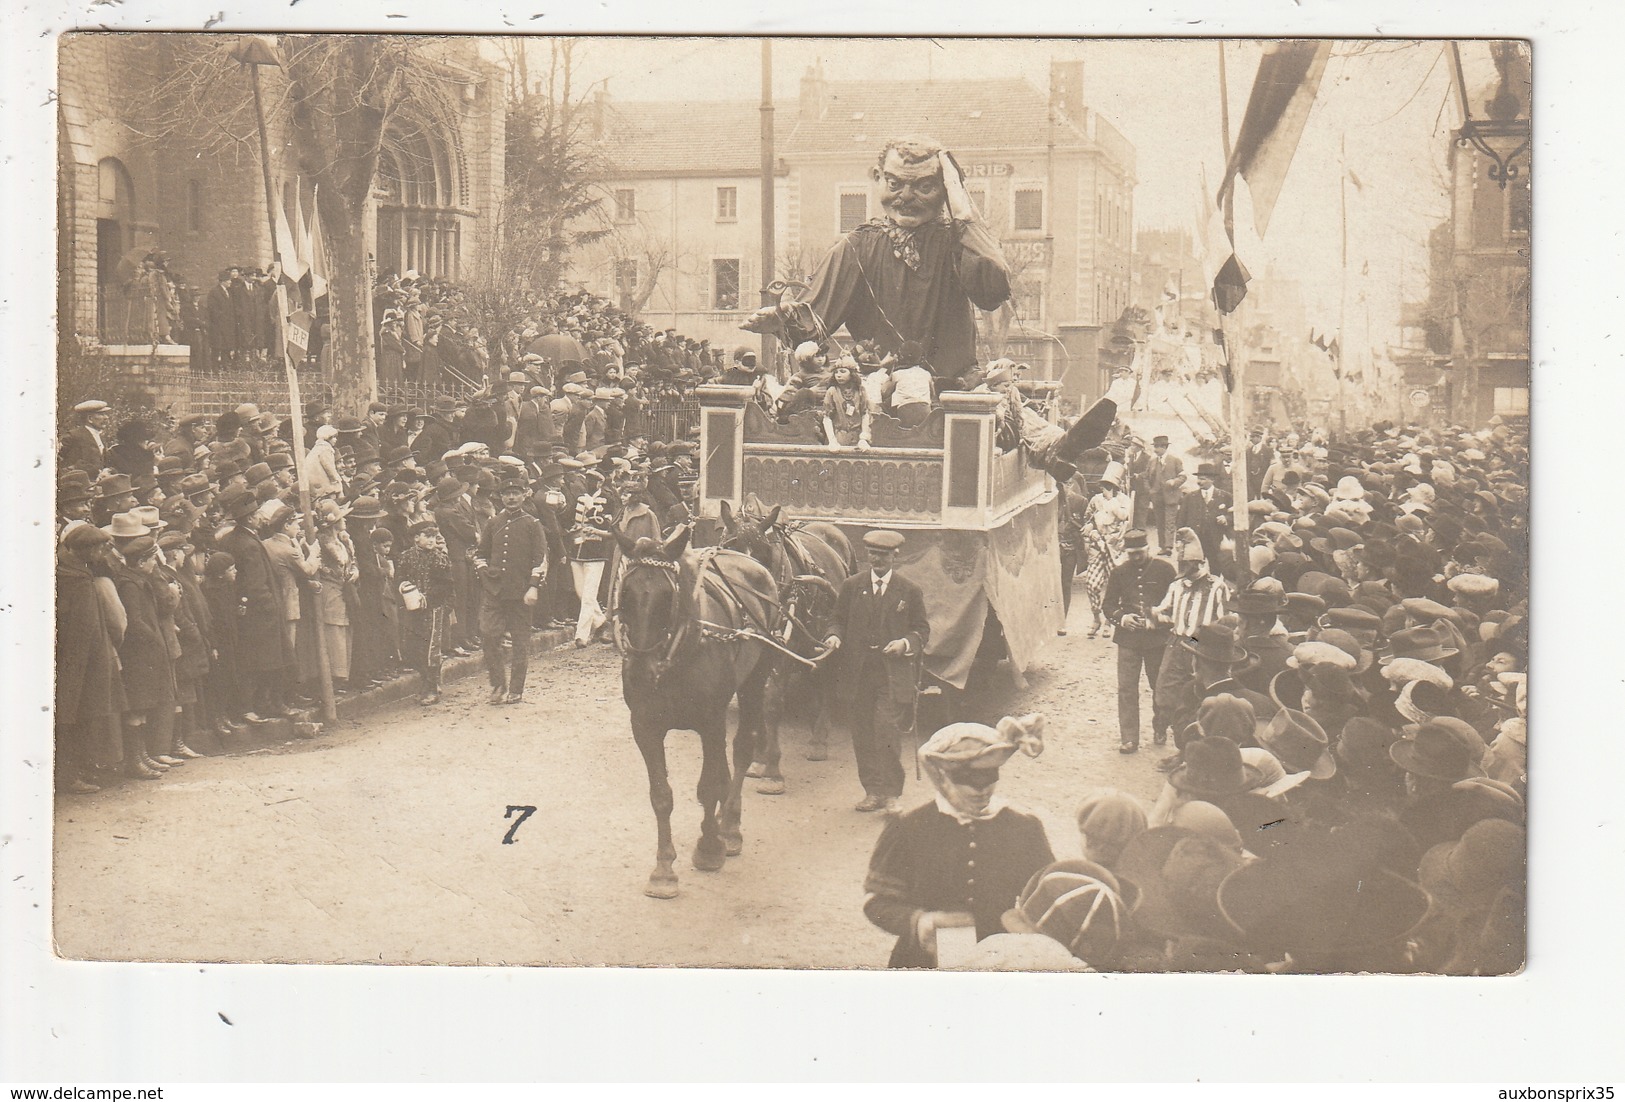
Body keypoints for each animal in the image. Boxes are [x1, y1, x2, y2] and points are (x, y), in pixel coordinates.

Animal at [611, 529, 783, 903]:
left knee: (741, 750)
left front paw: (708, 847)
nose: (640, 673)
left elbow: (707, 788)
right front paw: (663, 870)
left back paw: (729, 828)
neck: (675, 655)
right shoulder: (645, 726)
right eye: (626, 593)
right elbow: (661, 796)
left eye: (667, 597)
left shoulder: (710, 722)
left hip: (754, 680)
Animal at [718, 500, 858, 793]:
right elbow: (755, 700)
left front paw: (772, 771)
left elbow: (770, 702)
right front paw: (758, 759)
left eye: (764, 556)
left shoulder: (779, 653)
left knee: (827, 677)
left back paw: (819, 739)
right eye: (728, 550)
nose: (744, 605)